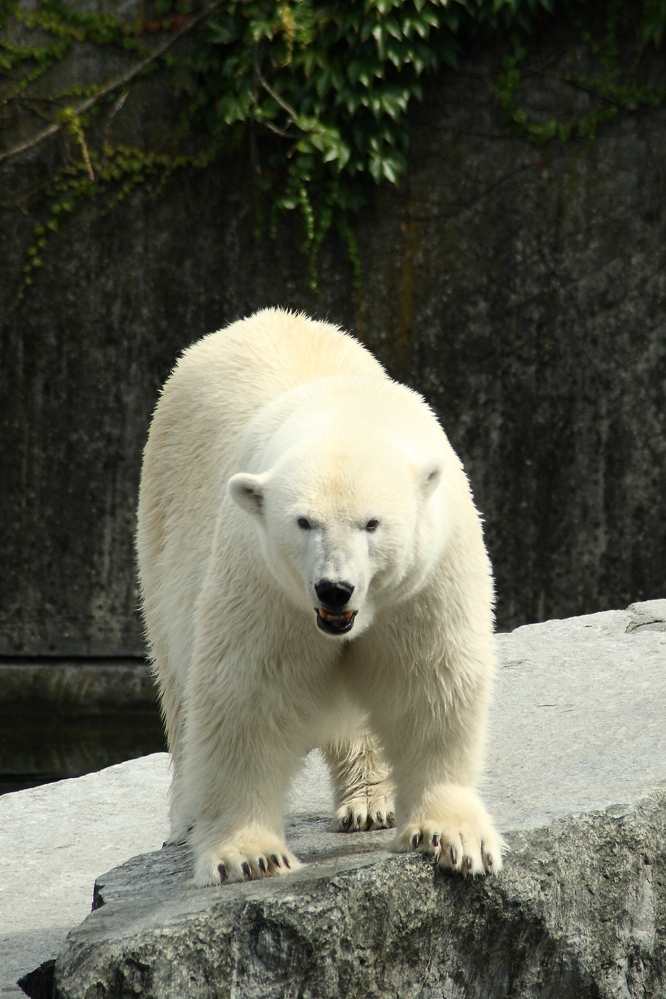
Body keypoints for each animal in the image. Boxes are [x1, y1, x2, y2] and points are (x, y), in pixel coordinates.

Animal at [137, 308, 500, 888]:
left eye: (372, 523)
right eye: (303, 522)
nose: (335, 588)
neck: (347, 413)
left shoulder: (428, 578)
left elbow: (431, 681)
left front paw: (454, 837)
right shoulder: (261, 580)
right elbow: (246, 695)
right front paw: (250, 855)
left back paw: (371, 800)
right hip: (162, 522)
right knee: (177, 678)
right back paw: (188, 818)